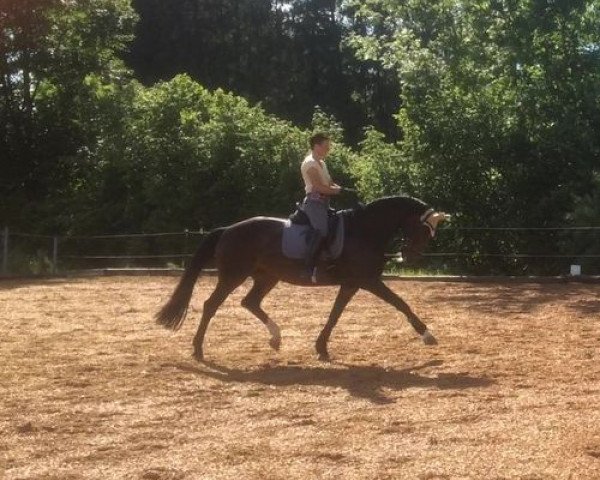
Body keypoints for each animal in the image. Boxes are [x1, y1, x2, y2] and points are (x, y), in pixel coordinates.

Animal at [157, 195, 448, 360]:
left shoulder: (351, 284)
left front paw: (321, 347)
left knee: (250, 302)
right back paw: (198, 349)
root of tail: (228, 229)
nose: (410, 257)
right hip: (233, 275)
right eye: (424, 229)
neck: (364, 230)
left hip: (266, 277)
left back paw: (275, 338)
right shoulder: (368, 281)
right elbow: (400, 303)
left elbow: (335, 314)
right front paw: (427, 335)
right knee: (211, 305)